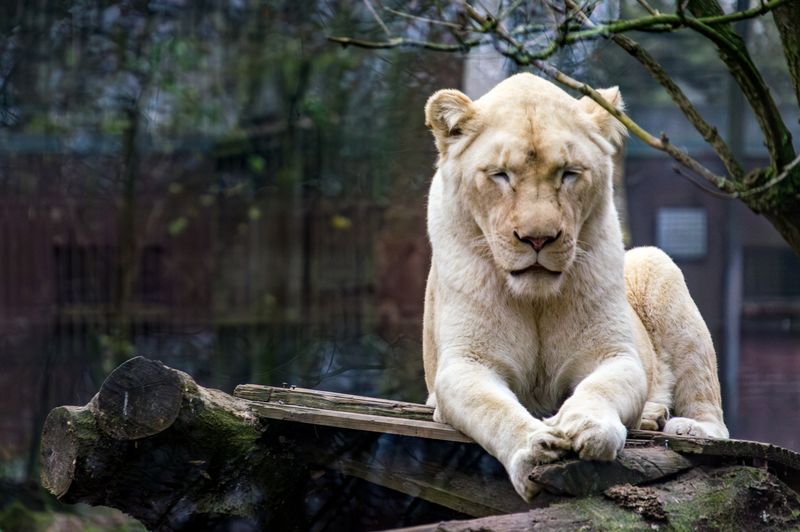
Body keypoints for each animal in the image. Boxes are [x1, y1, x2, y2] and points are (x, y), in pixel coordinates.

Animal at [421, 73, 728, 501]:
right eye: (500, 174)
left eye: (568, 172)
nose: (537, 239)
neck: (534, 299)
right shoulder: (466, 363)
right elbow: (492, 408)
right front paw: (536, 448)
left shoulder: (614, 353)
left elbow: (603, 387)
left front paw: (585, 426)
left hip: (657, 266)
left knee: (712, 411)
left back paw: (682, 424)